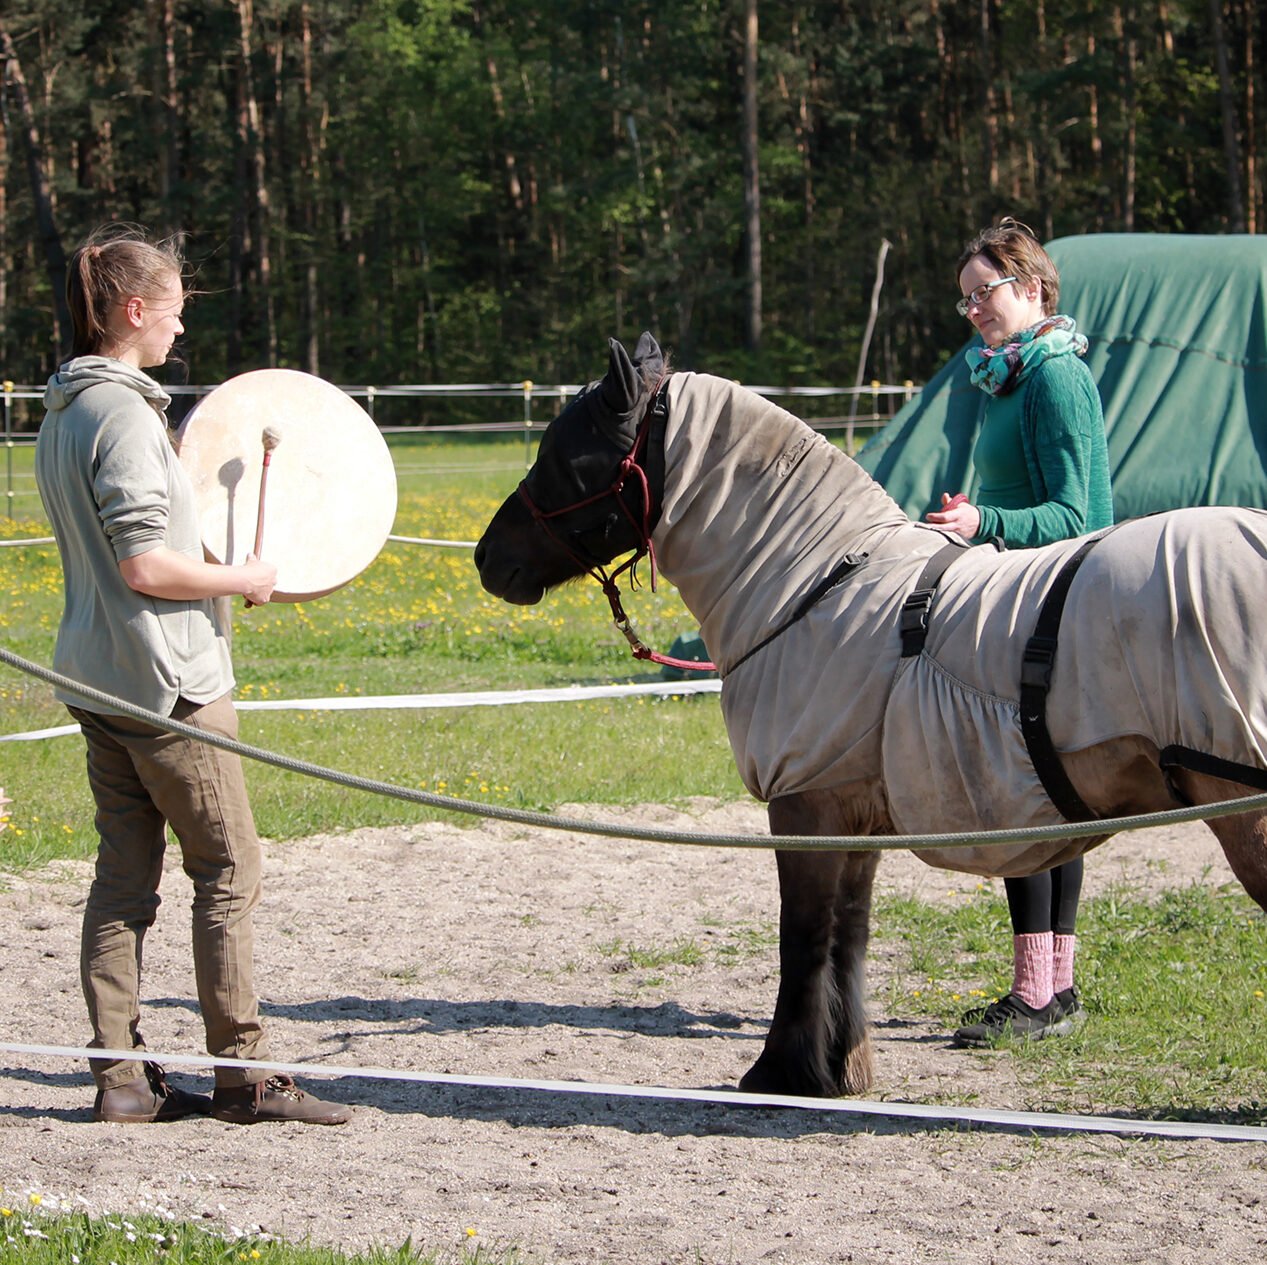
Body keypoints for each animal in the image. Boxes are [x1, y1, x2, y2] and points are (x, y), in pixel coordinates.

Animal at [476, 337, 1267, 1100]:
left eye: (565, 458)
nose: (487, 558)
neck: (814, 584)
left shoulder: (803, 807)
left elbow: (802, 939)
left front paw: (780, 1073)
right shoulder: (853, 820)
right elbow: (846, 939)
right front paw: (838, 1068)